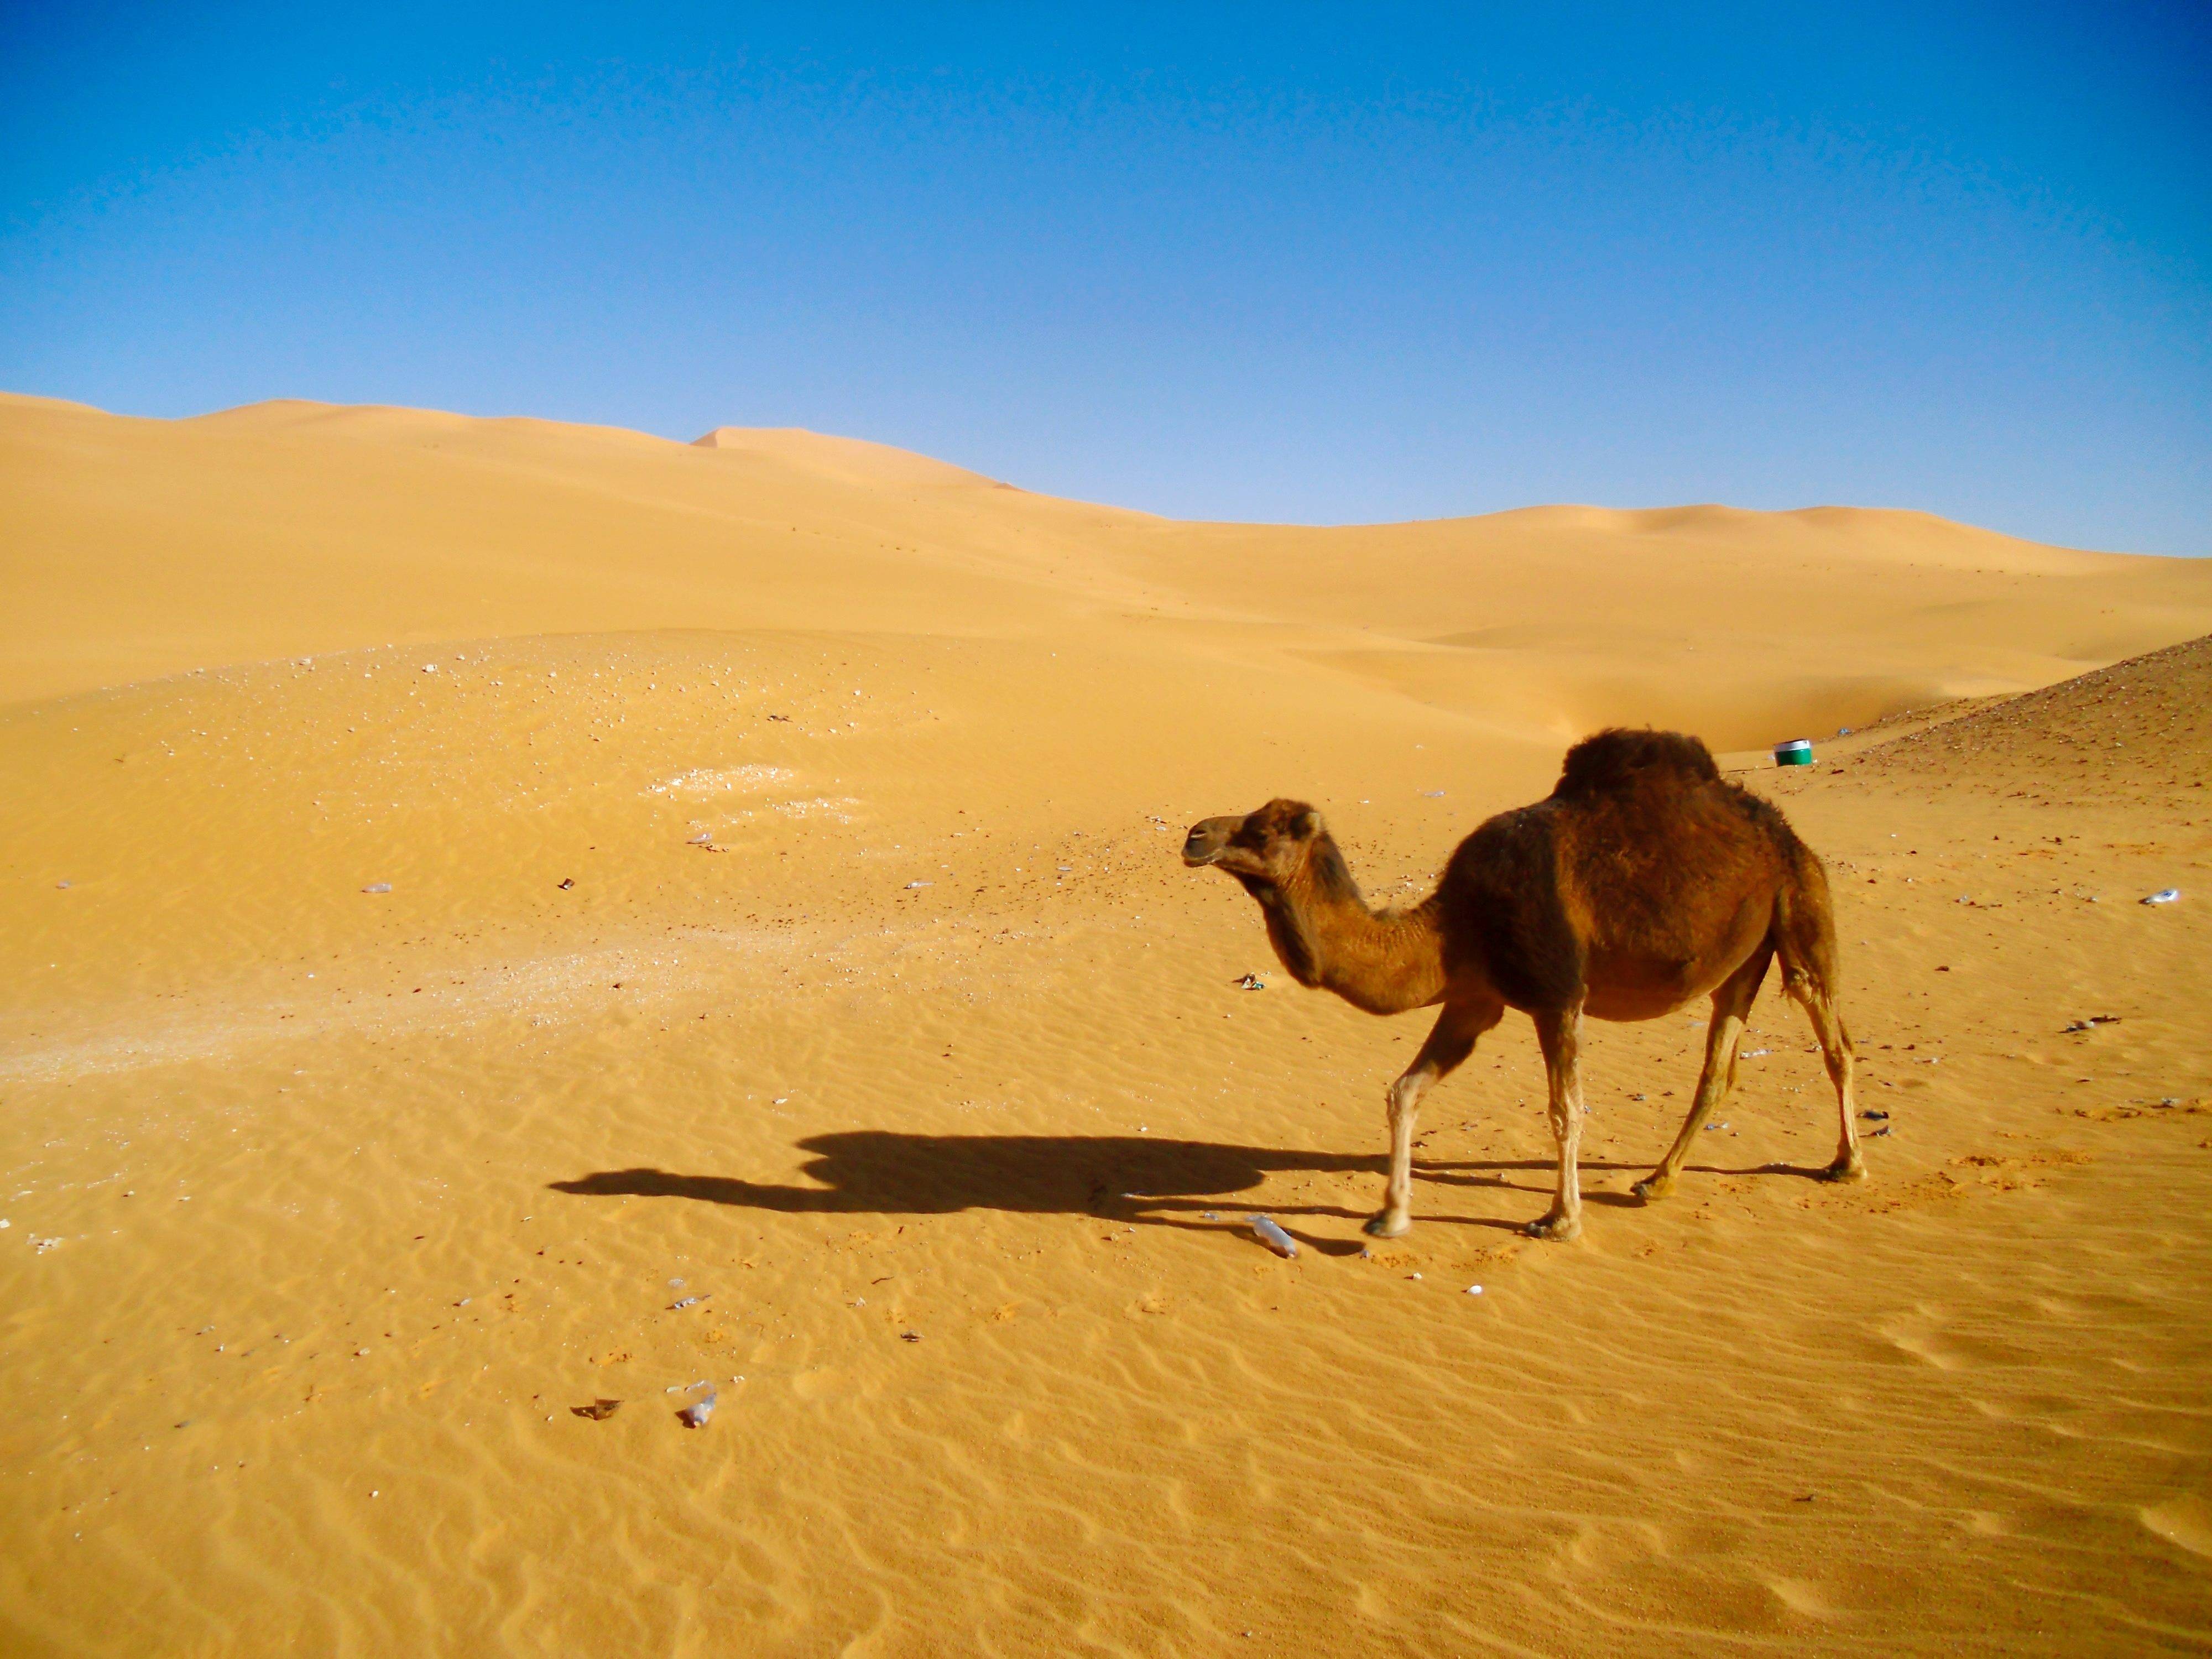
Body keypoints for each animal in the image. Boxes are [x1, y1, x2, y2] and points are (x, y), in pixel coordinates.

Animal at [1186, 730, 1858, 1248]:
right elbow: (1404, 1090)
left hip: (1799, 900)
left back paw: (1847, 1165)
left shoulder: (1556, 994)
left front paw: (1560, 1220)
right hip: (1743, 956)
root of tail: (1779, 828)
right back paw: (1656, 1181)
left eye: (1264, 831)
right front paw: (1390, 1216)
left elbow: (1565, 1110)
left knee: (1832, 1037)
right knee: (1719, 1068)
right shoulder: (1474, 997)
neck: (1455, 923)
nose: (1194, 834)